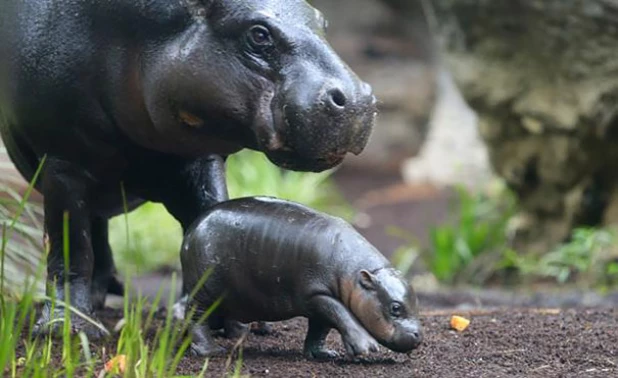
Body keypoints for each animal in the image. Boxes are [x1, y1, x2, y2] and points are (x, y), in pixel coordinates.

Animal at [0, 0, 376, 336]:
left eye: (323, 21)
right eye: (258, 34)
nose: (359, 100)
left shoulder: (200, 158)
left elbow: (209, 223)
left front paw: (234, 320)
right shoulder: (62, 162)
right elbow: (71, 251)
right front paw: (65, 329)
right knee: (91, 232)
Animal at [177, 196, 424, 358]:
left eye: (417, 302)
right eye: (395, 307)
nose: (418, 335)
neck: (354, 273)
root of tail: (192, 229)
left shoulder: (319, 302)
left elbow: (320, 328)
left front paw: (324, 354)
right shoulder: (318, 294)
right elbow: (342, 315)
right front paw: (367, 348)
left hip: (231, 295)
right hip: (205, 290)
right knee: (196, 316)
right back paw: (211, 352)